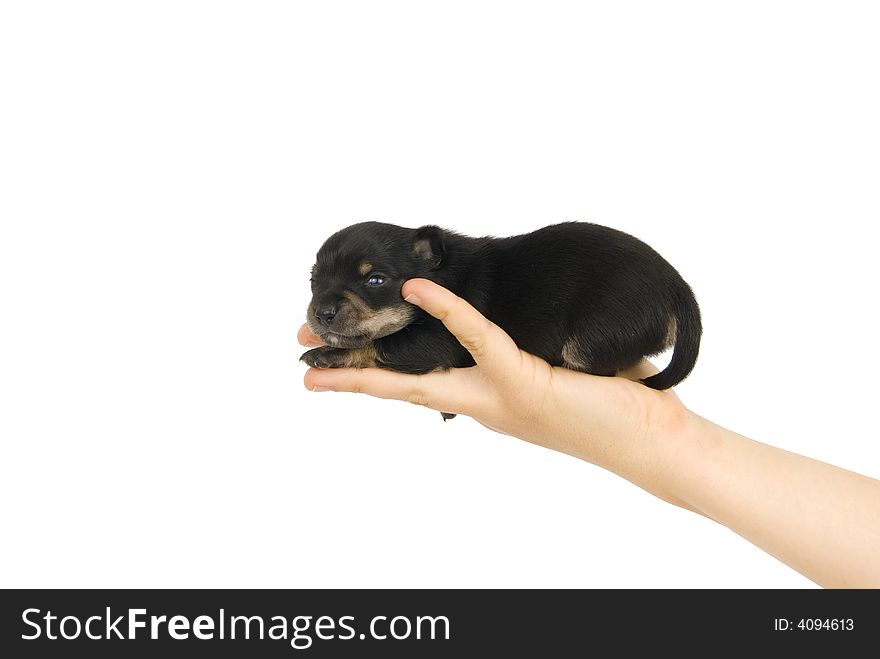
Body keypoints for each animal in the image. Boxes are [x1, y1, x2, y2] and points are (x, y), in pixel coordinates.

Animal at [302, 222, 700, 410]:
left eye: (375, 280)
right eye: (313, 281)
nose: (321, 313)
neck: (442, 273)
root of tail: (680, 292)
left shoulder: (436, 341)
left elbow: (381, 343)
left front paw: (327, 354)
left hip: (593, 336)